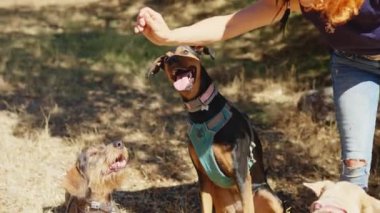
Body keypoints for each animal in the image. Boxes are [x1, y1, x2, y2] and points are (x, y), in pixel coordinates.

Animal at [147, 45, 284, 212]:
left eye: (185, 51)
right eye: (165, 58)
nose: (171, 60)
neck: (202, 113)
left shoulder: (241, 174)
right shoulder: (203, 177)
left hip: (267, 194)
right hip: (220, 198)